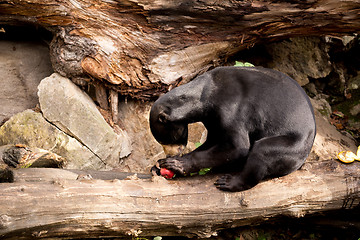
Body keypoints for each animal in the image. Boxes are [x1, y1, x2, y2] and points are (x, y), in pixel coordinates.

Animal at [149, 66, 316, 192]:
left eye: (165, 140)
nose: (170, 154)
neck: (204, 96)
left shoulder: (232, 108)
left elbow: (237, 147)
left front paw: (176, 164)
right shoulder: (212, 119)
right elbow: (213, 140)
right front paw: (159, 166)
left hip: (295, 144)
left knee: (263, 149)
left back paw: (229, 182)